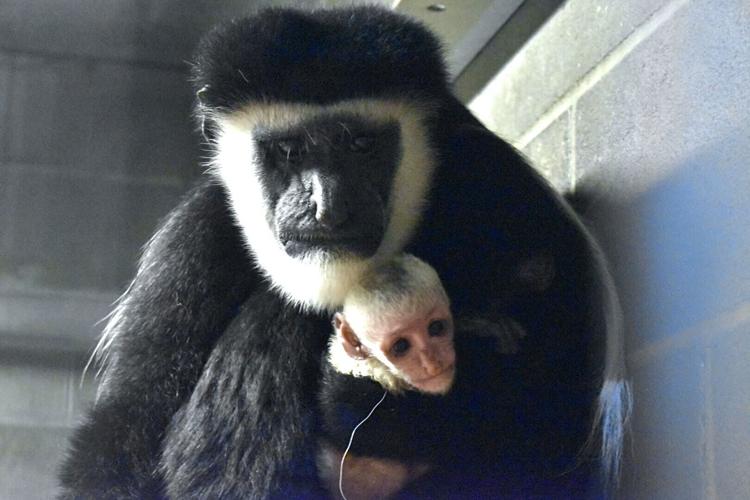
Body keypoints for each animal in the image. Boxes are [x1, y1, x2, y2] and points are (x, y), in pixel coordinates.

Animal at [59, 6, 630, 499]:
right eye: (289, 151)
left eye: (360, 145)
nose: (327, 207)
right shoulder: (195, 242)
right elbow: (126, 426)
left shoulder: (501, 184)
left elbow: (554, 408)